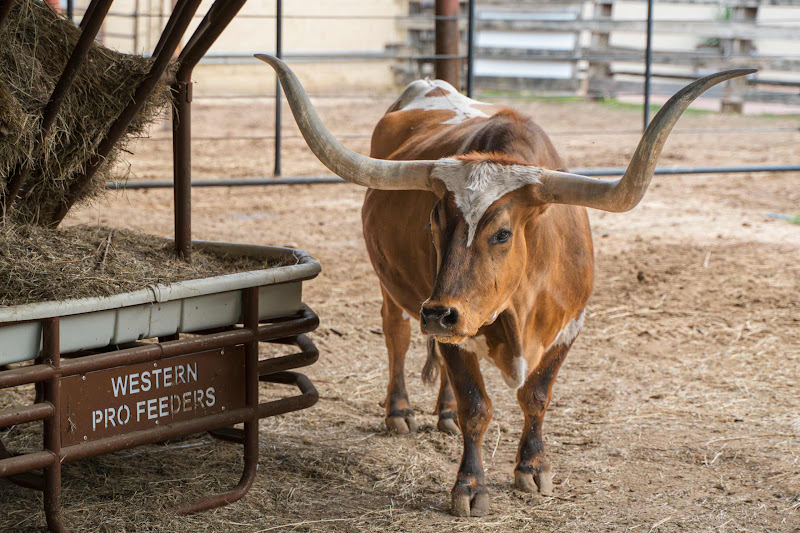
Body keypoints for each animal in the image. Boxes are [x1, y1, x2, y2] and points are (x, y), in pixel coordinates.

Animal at [256, 54, 752, 517]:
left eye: (502, 233)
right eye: (434, 221)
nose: (438, 313)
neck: (520, 308)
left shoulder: (570, 326)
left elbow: (535, 396)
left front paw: (533, 468)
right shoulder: (454, 327)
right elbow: (477, 407)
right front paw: (470, 487)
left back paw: (444, 413)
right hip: (395, 286)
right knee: (397, 335)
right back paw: (400, 411)